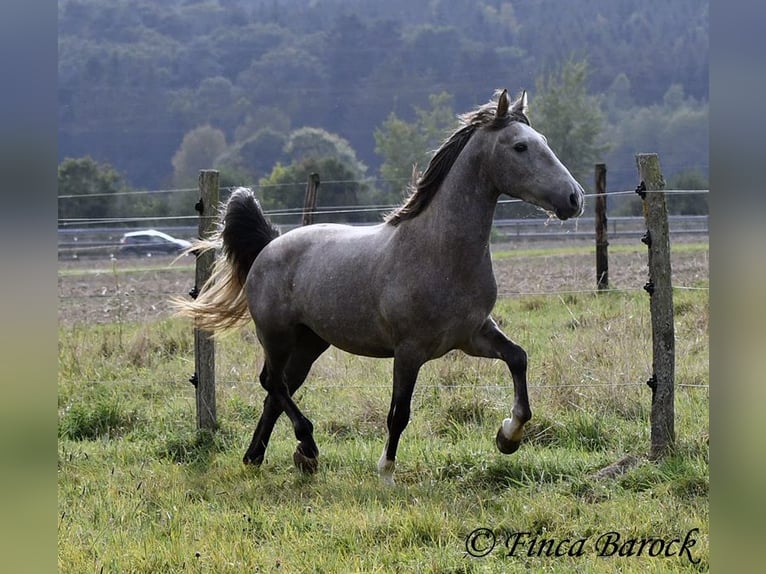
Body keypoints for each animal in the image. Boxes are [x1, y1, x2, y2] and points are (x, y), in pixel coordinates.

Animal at [176, 91, 584, 486]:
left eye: (543, 141)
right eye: (520, 146)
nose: (574, 198)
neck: (439, 252)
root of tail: (270, 245)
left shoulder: (472, 335)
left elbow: (518, 358)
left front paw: (508, 437)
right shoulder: (409, 351)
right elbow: (399, 413)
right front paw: (386, 471)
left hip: (310, 342)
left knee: (277, 392)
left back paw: (264, 457)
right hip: (277, 336)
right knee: (273, 382)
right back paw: (307, 446)